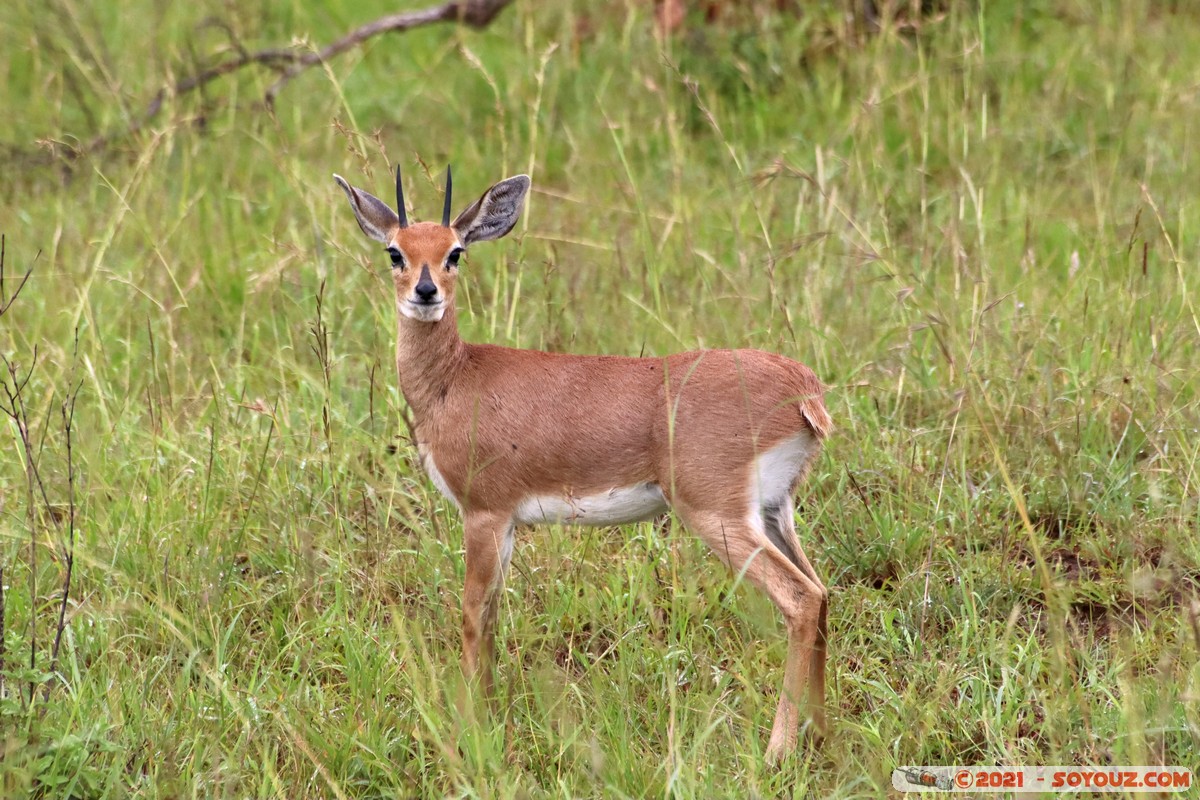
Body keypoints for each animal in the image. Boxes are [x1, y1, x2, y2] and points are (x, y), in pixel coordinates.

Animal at [333, 165, 830, 762]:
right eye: (395, 252)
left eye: (454, 252)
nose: (425, 292)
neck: (458, 378)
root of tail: (804, 389)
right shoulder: (507, 525)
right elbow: (493, 617)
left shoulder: (484, 513)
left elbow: (473, 615)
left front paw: (469, 730)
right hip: (776, 511)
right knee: (823, 594)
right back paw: (823, 733)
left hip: (718, 515)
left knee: (800, 599)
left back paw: (778, 750)